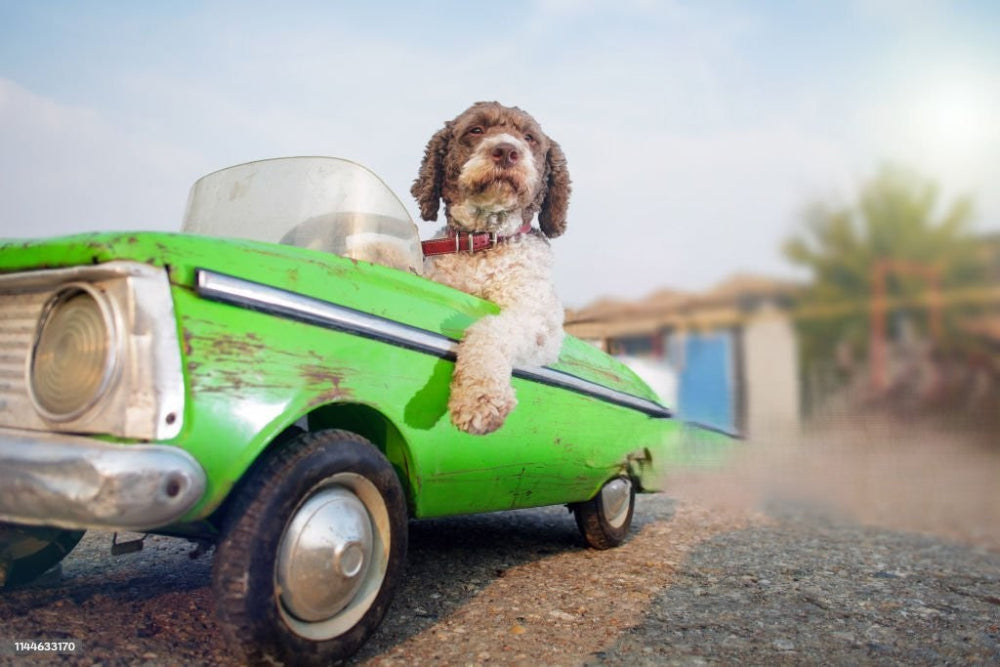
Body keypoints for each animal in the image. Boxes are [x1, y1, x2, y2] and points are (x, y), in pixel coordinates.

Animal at [412, 99, 572, 434]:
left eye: (529, 138)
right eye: (476, 129)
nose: (506, 151)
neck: (483, 244)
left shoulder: (539, 323)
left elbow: (490, 328)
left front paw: (479, 398)